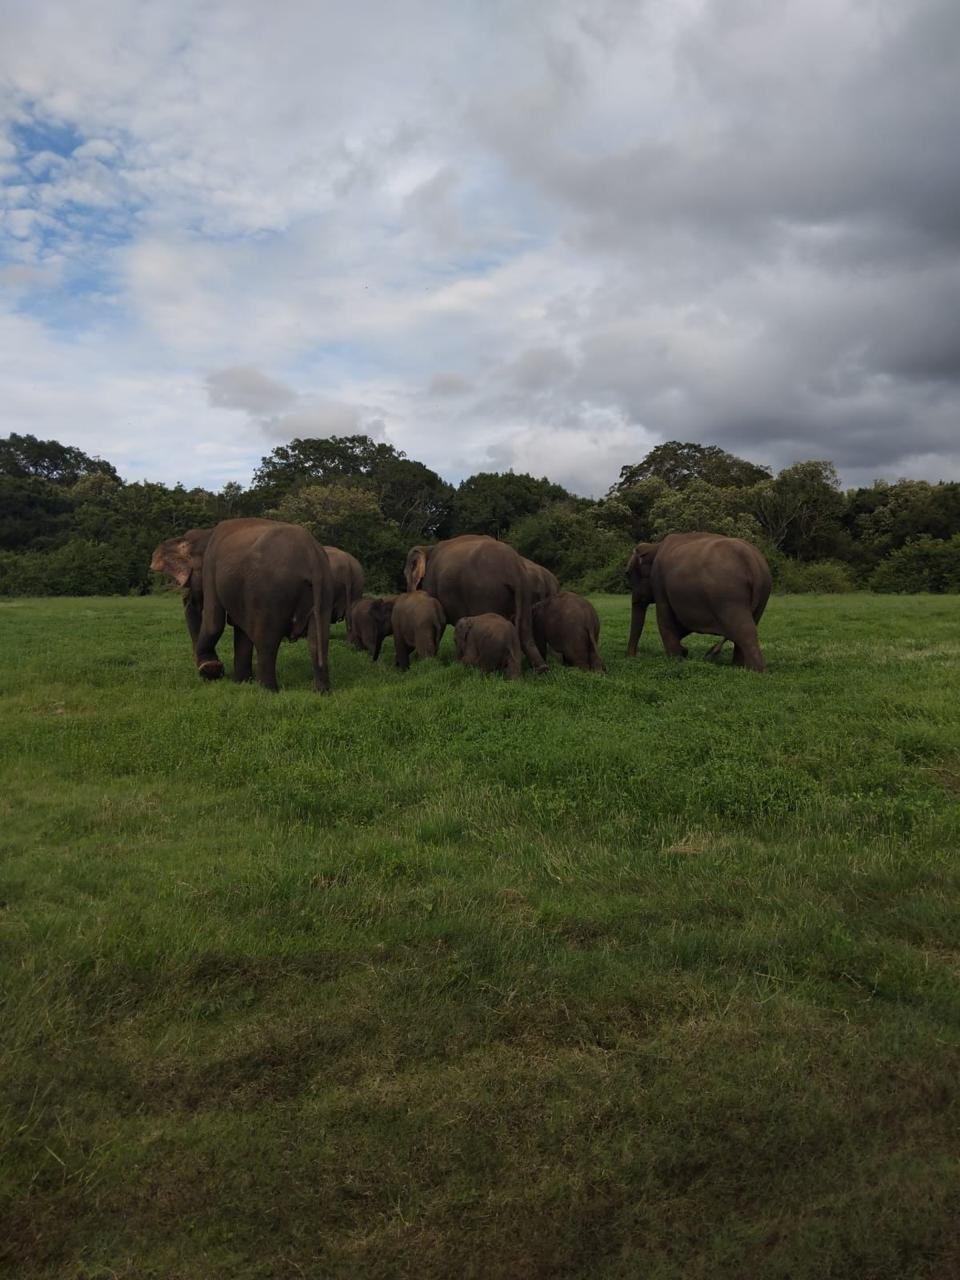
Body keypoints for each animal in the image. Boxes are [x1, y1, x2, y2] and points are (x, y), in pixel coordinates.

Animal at [151, 518, 333, 692]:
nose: (215, 669)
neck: (205, 533)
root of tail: (312, 558)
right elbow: (240, 629)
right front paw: (240, 682)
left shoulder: (210, 567)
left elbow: (213, 622)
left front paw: (210, 670)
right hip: (324, 591)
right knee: (318, 640)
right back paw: (321, 691)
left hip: (270, 593)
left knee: (266, 641)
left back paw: (266, 690)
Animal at [404, 535, 547, 673]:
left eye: (405, 575)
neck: (428, 548)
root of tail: (515, 569)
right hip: (525, 590)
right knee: (525, 630)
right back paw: (540, 669)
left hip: (486, 593)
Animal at [626, 532, 771, 672]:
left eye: (628, 574)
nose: (634, 656)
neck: (655, 546)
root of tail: (751, 558)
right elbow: (683, 625)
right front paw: (683, 651)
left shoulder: (659, 583)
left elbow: (666, 621)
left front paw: (676, 659)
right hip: (763, 592)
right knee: (750, 626)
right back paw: (738, 666)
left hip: (729, 596)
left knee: (744, 631)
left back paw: (756, 671)